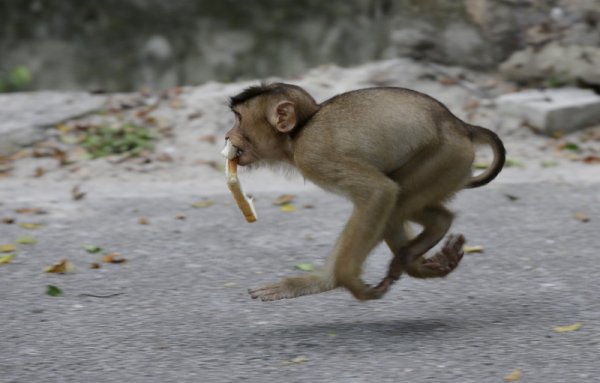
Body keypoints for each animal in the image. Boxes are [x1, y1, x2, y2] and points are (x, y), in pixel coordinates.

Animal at [225, 82, 506, 302]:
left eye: (239, 119)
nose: (227, 135)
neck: (298, 133)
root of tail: (461, 125)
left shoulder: (313, 153)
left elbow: (378, 192)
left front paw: (339, 281)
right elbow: (383, 194)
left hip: (448, 157)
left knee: (395, 198)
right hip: (452, 166)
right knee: (403, 203)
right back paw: (428, 245)